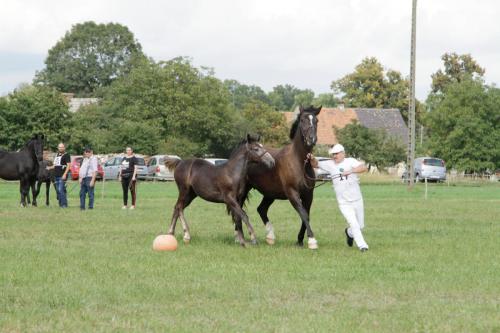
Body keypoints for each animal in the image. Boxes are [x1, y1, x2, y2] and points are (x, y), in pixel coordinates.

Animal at [240, 105, 322, 248]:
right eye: (302, 120)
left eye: (316, 120)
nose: (311, 139)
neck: (299, 162)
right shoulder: (292, 193)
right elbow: (304, 214)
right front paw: (312, 241)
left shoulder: (308, 195)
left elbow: (306, 215)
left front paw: (300, 240)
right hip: (244, 190)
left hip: (270, 194)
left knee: (261, 209)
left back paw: (270, 237)